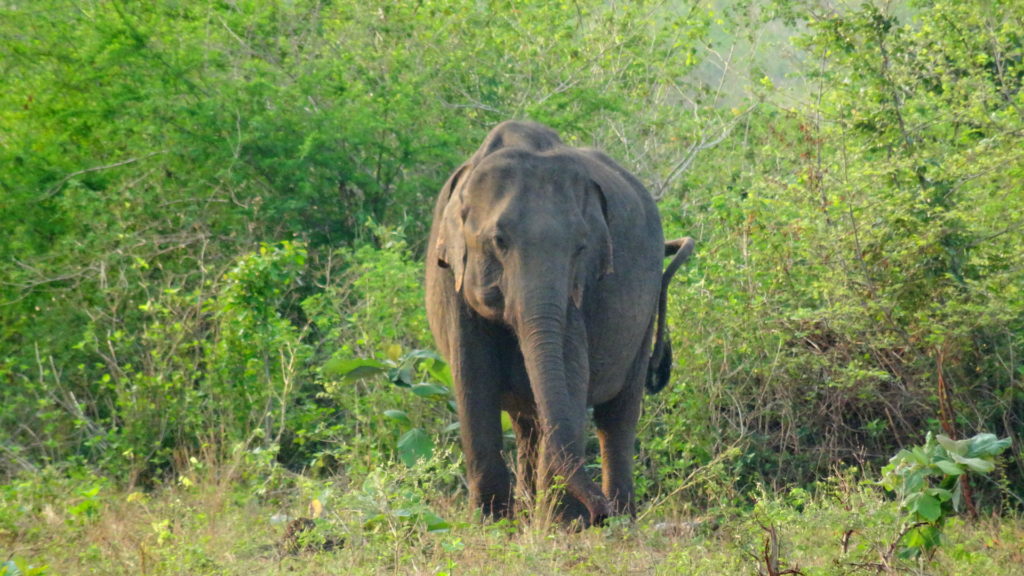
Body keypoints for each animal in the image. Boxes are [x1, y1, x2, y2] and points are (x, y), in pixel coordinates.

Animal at [423, 120, 696, 524]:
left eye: (581, 247)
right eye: (499, 240)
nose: (599, 515)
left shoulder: (583, 288)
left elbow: (571, 372)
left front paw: (562, 527)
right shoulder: (453, 283)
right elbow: (473, 378)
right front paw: (492, 525)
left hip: (645, 311)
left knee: (616, 417)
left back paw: (621, 521)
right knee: (528, 421)